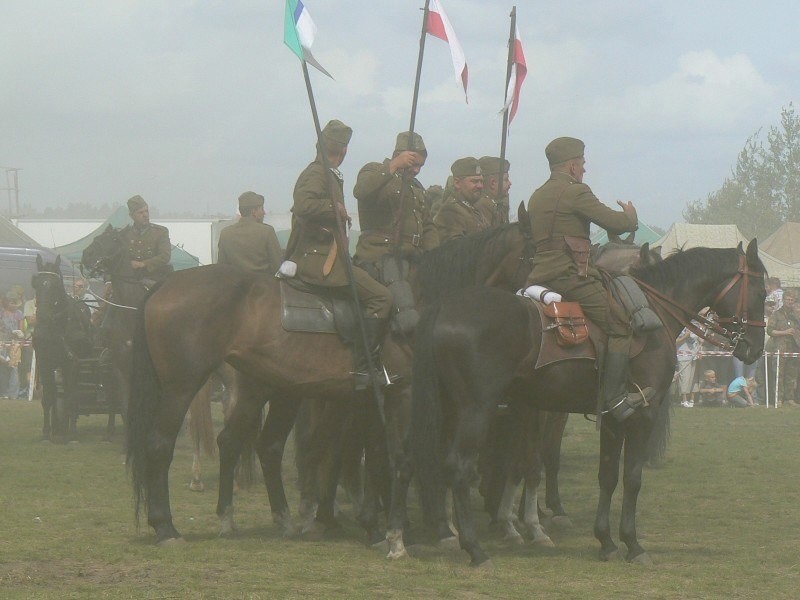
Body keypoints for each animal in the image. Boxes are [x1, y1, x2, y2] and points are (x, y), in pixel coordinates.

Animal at [31, 253, 93, 440]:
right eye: (36, 283)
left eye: (55, 285)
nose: (43, 316)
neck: (56, 327)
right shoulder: (45, 363)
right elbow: (48, 397)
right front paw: (47, 431)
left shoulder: (72, 362)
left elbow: (72, 397)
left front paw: (71, 433)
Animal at [126, 205, 536, 544]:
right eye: (533, 253)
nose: (539, 303)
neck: (417, 300)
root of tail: (165, 284)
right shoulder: (402, 395)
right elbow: (395, 457)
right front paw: (395, 528)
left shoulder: (373, 399)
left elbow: (375, 457)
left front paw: (380, 524)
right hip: (183, 387)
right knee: (160, 444)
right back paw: (166, 527)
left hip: (265, 390)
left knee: (252, 444)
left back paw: (255, 518)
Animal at [390, 241, 764, 564]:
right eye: (761, 291)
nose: (755, 348)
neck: (655, 313)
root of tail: (443, 305)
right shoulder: (643, 414)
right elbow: (632, 477)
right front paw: (632, 544)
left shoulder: (613, 417)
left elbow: (607, 476)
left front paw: (607, 541)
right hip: (474, 411)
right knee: (458, 467)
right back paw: (474, 548)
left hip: (443, 409)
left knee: (410, 459)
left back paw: (400, 539)